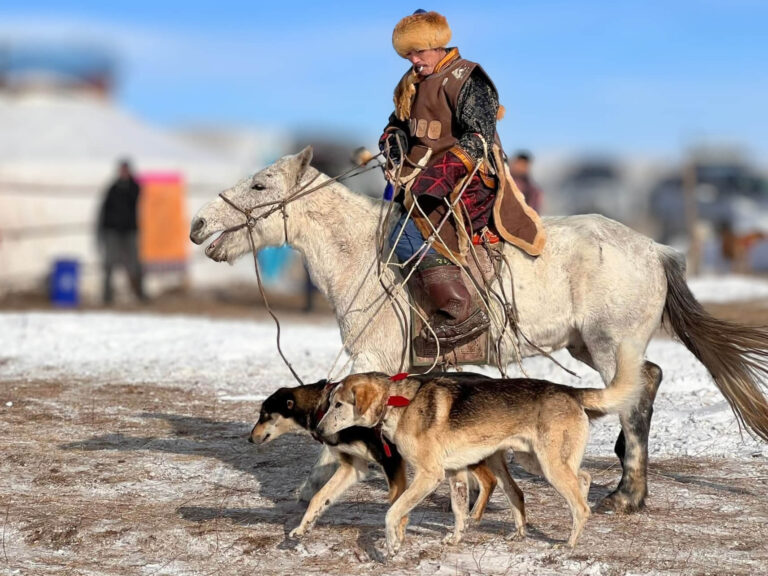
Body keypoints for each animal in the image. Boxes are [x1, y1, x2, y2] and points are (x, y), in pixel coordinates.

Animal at [190, 146, 768, 513]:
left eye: (260, 184)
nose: (198, 224)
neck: (357, 251)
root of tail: (656, 249)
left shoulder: (371, 357)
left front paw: (311, 488)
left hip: (612, 344)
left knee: (638, 392)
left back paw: (627, 495)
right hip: (587, 345)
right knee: (646, 381)